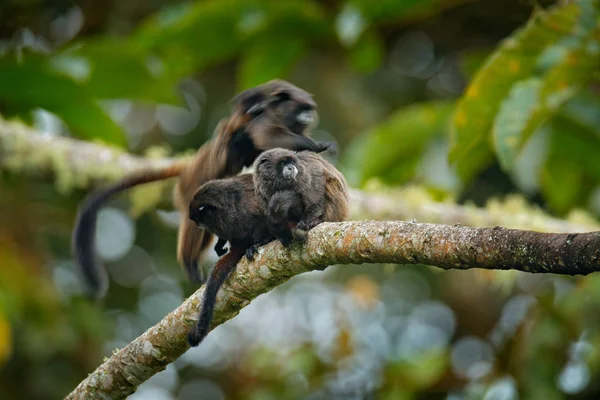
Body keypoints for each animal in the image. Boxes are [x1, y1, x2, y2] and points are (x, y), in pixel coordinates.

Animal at [71, 79, 332, 298]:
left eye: (310, 109)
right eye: (302, 108)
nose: (309, 115)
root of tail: (191, 166)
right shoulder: (267, 116)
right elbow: (264, 133)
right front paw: (316, 145)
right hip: (192, 186)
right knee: (197, 218)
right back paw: (189, 261)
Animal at [188, 175, 274, 346]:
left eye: (199, 215)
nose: (196, 223)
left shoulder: (247, 206)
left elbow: (264, 216)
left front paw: (263, 241)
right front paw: (219, 245)